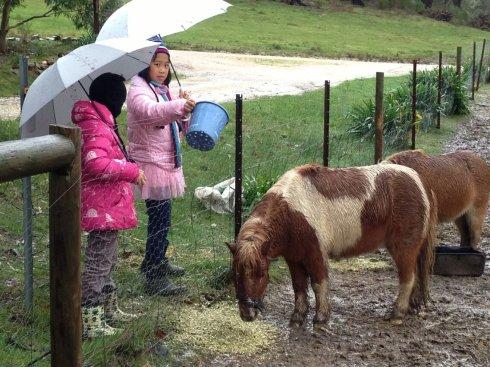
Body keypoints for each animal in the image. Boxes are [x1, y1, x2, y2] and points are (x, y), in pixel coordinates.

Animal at [228, 164, 438, 328]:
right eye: (235, 273)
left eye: (261, 273)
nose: (247, 314)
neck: (289, 214)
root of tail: (419, 181)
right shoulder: (294, 259)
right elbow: (299, 287)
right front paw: (297, 317)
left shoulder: (315, 255)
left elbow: (318, 284)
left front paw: (321, 318)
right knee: (415, 276)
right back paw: (411, 307)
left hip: (403, 249)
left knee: (408, 278)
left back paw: (397, 313)